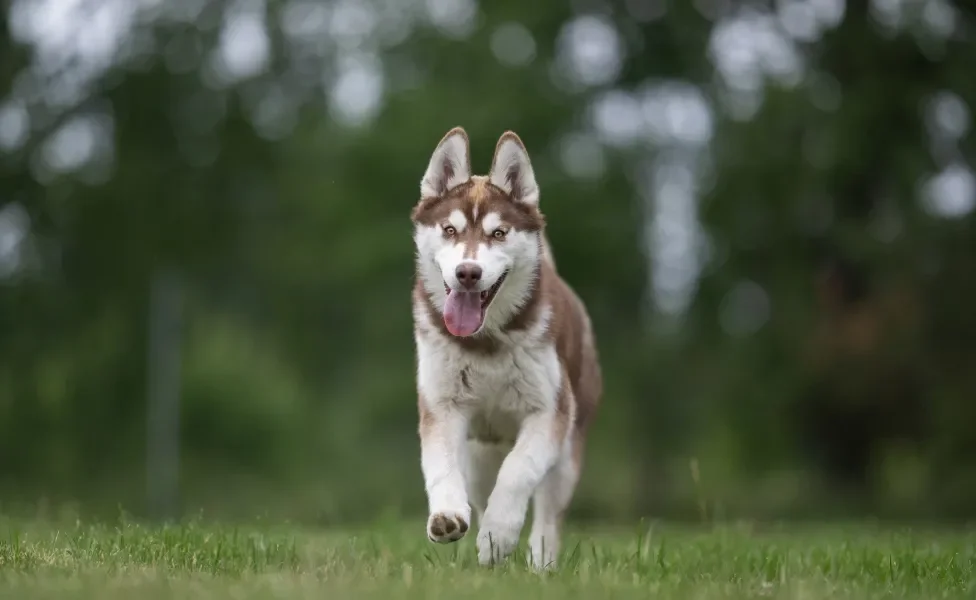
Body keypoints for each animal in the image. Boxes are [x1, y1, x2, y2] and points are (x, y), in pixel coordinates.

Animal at [406, 126, 604, 568]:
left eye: (498, 233)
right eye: (450, 230)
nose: (468, 272)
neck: (486, 342)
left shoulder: (549, 413)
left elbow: (517, 472)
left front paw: (499, 535)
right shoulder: (442, 407)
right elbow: (441, 466)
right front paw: (448, 516)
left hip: (568, 452)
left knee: (548, 513)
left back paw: (540, 563)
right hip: (480, 452)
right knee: (480, 489)